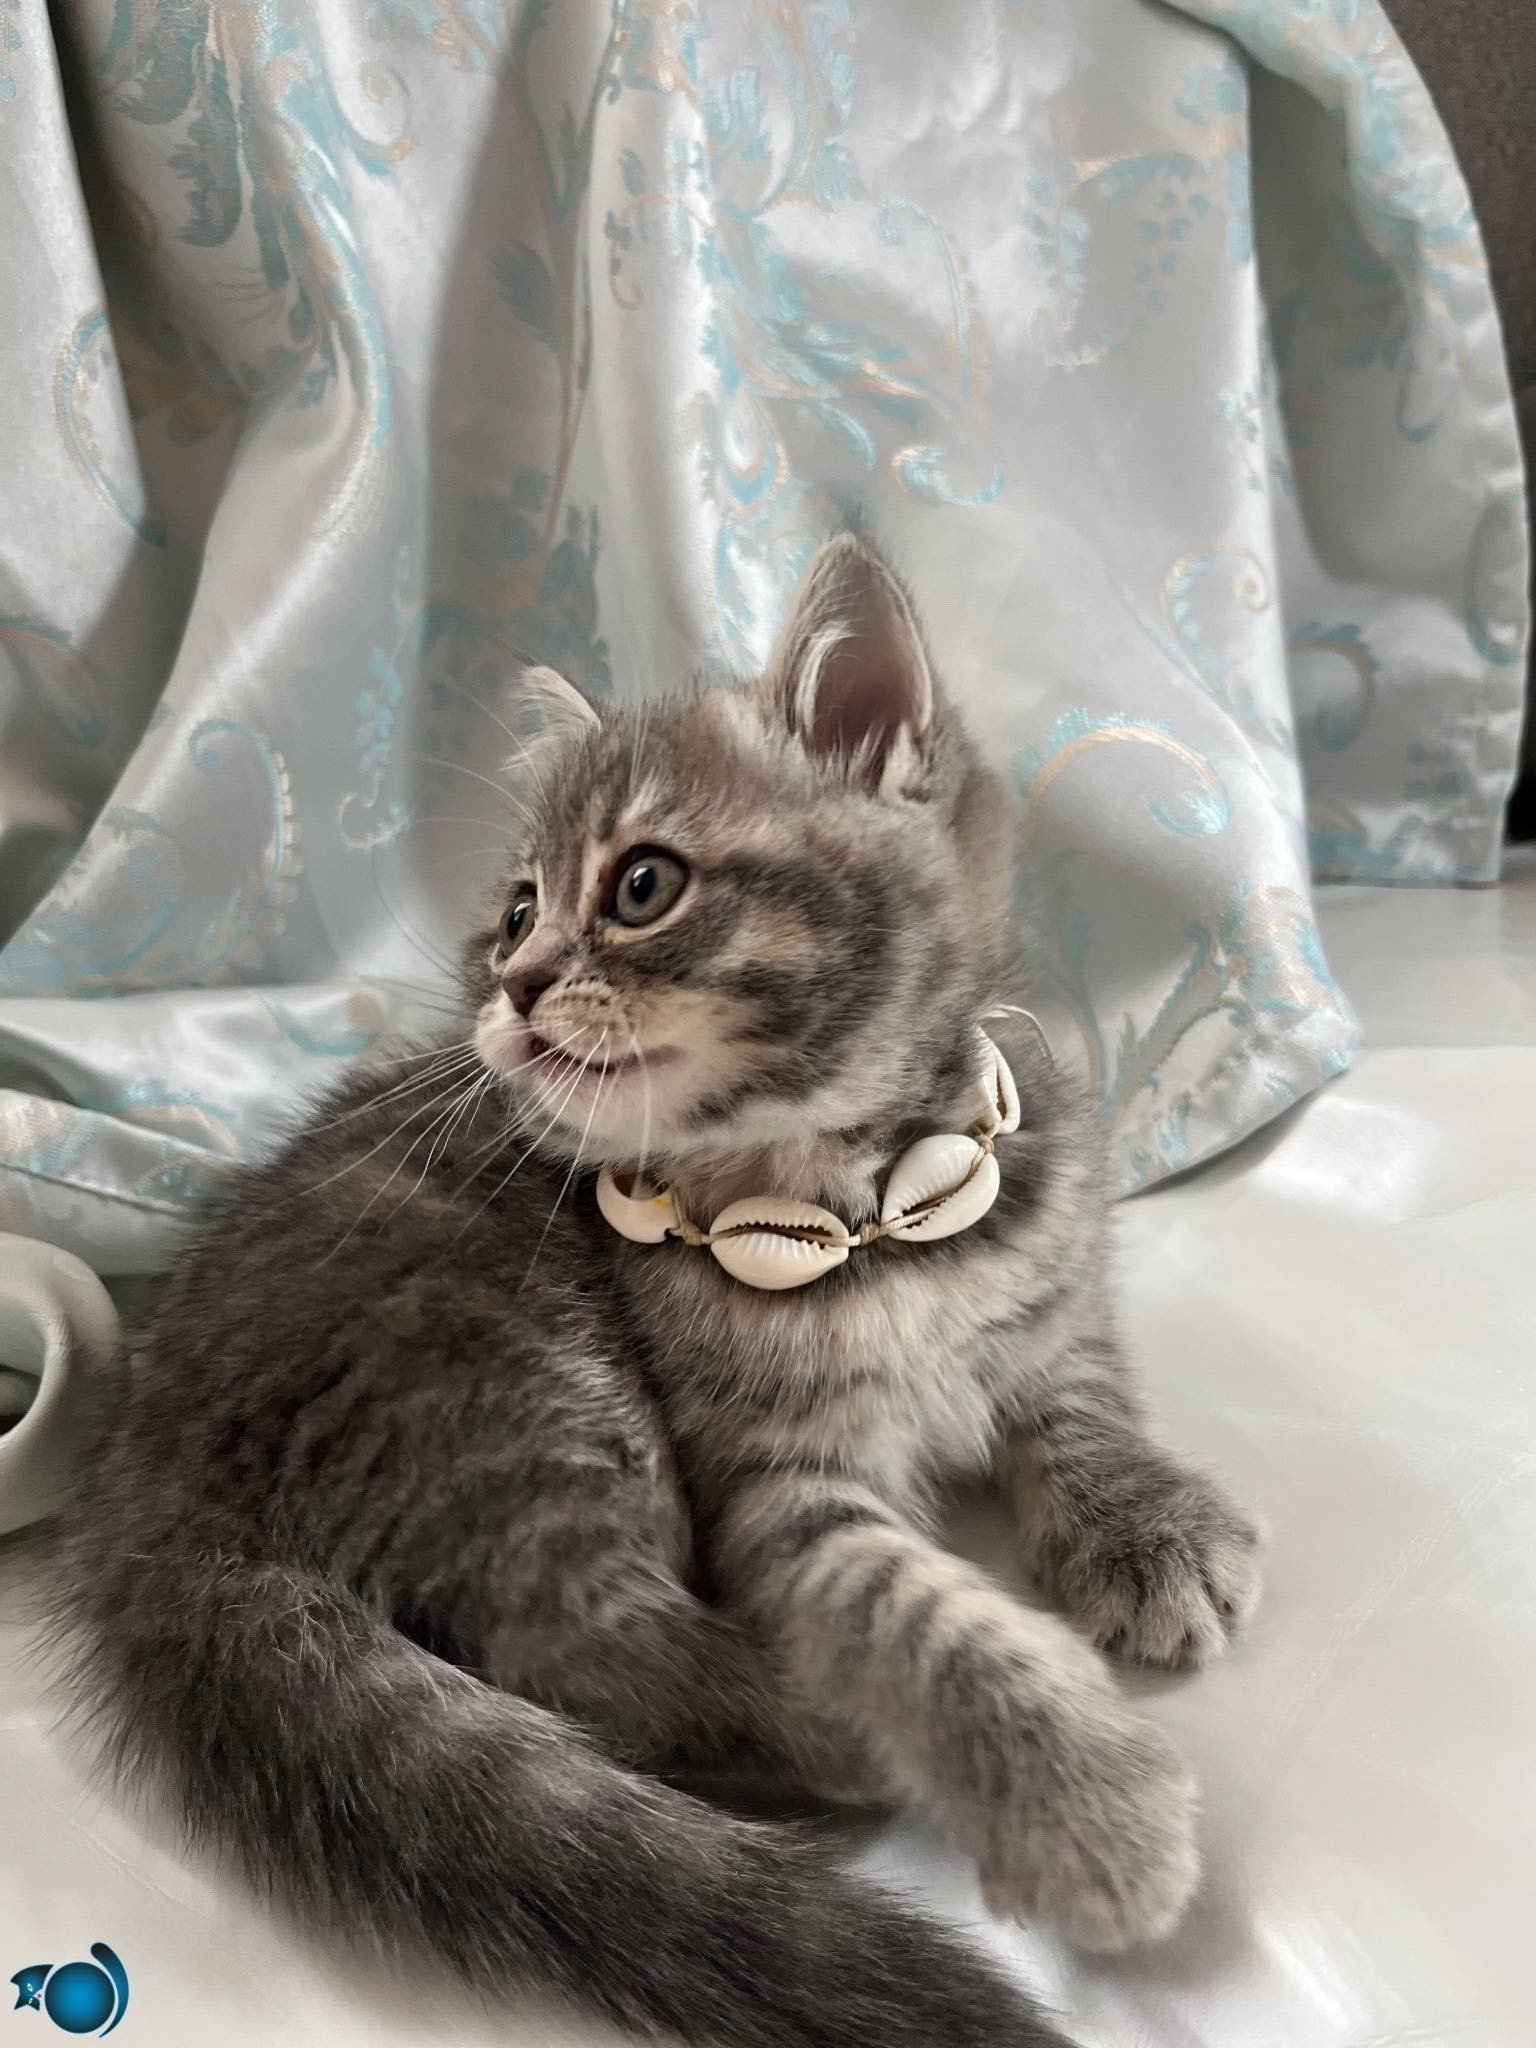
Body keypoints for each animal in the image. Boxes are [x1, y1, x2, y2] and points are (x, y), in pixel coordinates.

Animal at [41, 535, 1262, 2048]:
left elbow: (1080, 1400)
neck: (864, 1204)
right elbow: (899, 1603)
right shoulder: (774, 1483)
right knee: (577, 1640)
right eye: (515, 909)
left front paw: (1147, 1524)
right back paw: (844, 1733)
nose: (512, 979)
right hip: (518, 1370)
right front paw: (1077, 1801)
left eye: (640, 887)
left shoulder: (1052, 1279)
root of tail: (144, 1476)